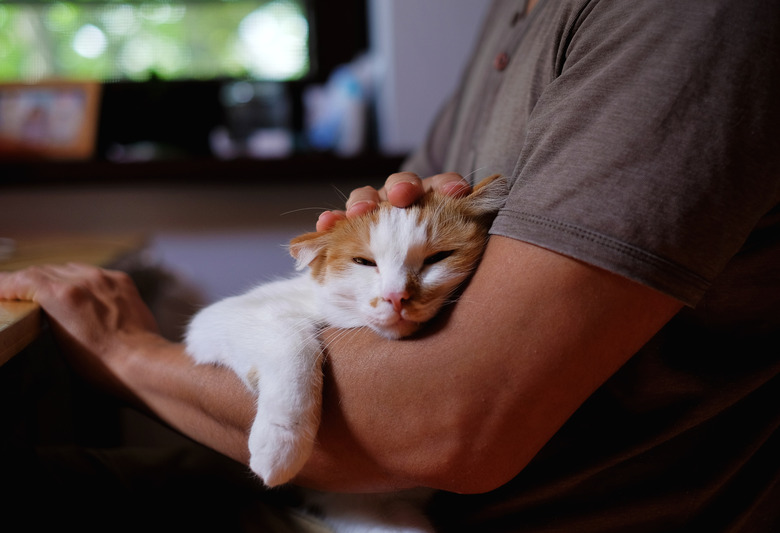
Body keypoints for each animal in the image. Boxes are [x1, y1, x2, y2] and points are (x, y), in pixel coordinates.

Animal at [187, 176, 508, 532]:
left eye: (438, 257)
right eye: (364, 262)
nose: (396, 297)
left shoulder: (368, 508)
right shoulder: (217, 319)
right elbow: (294, 341)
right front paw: (282, 440)